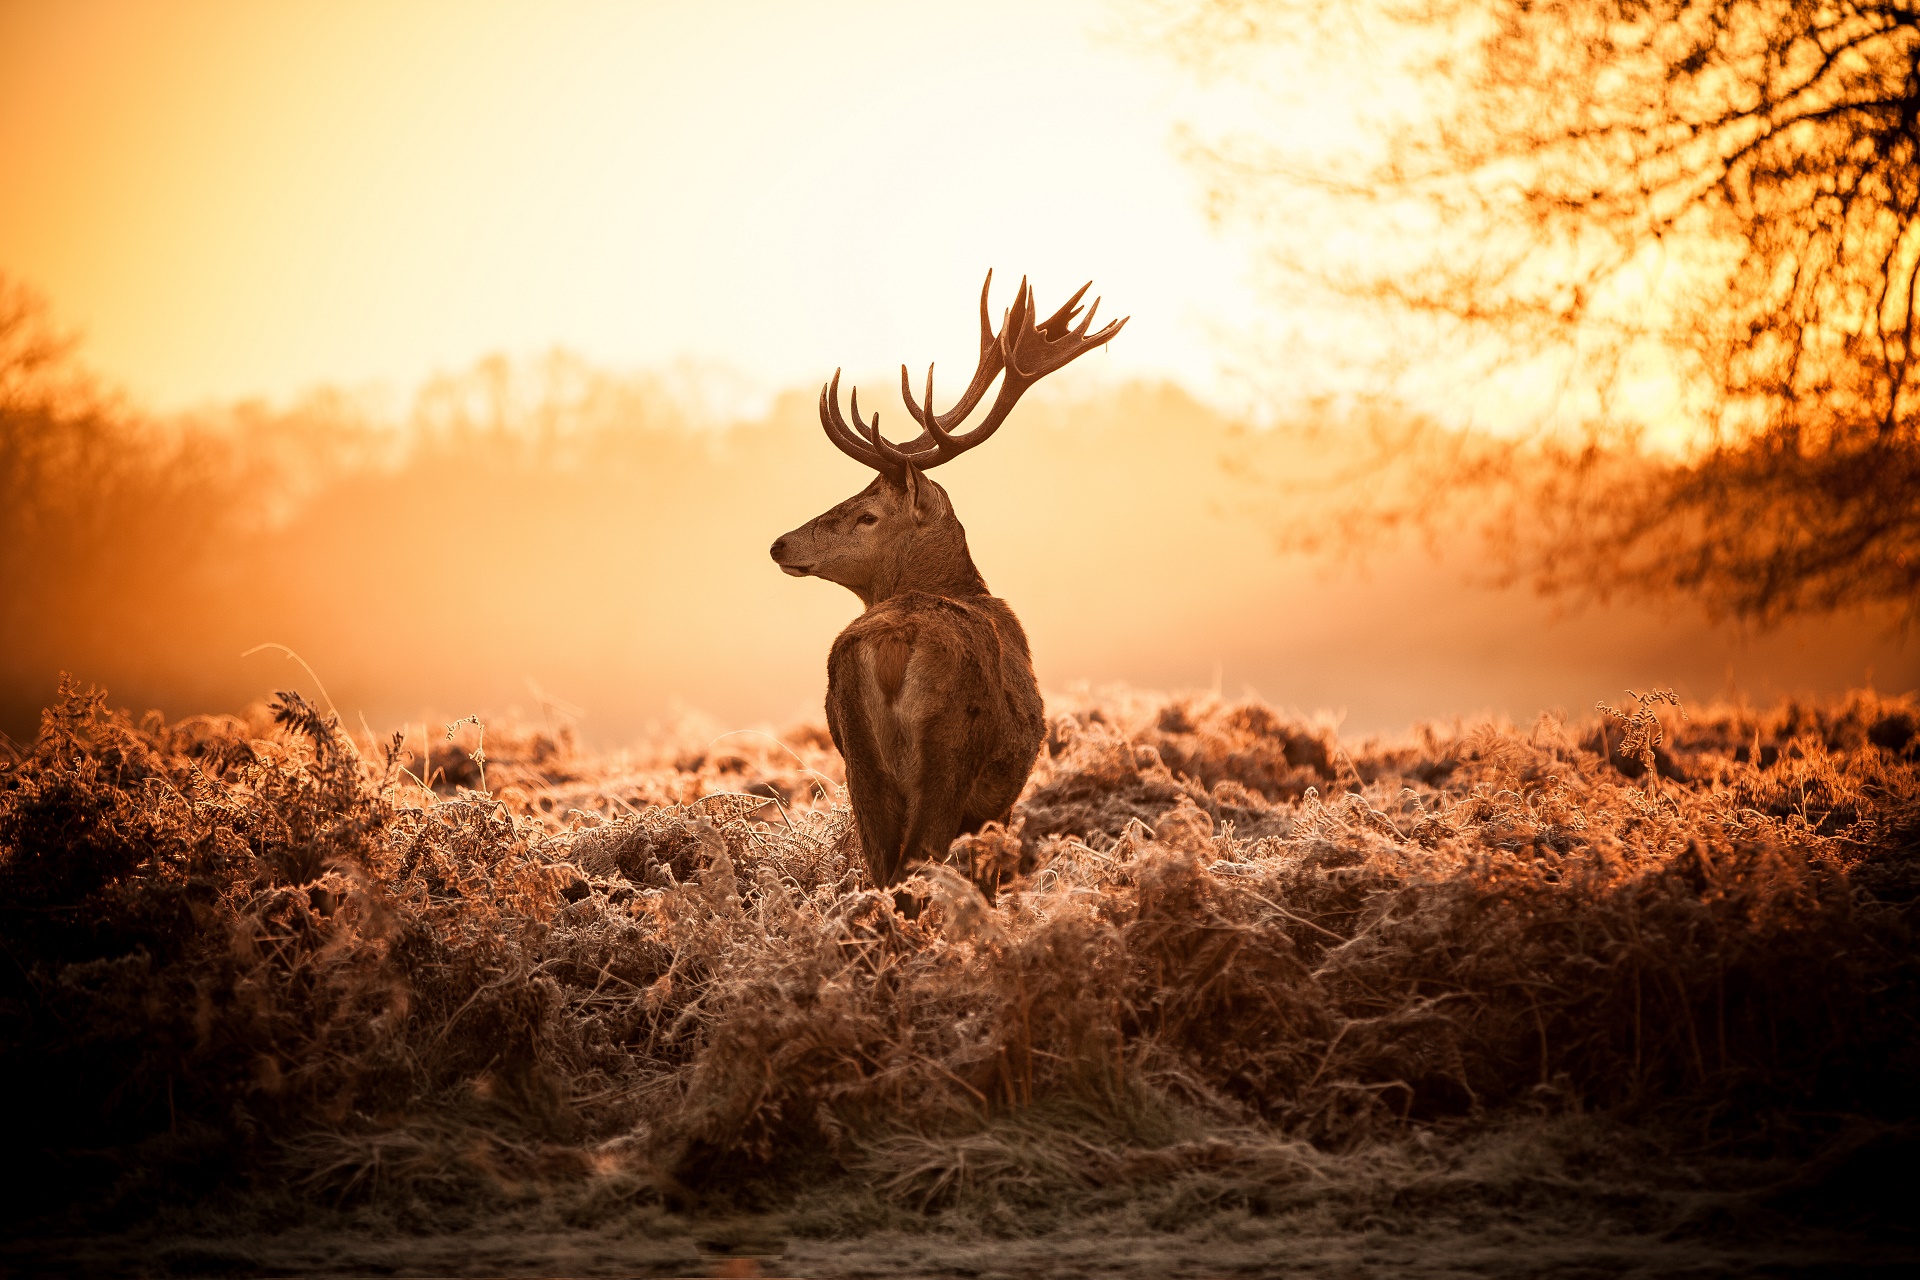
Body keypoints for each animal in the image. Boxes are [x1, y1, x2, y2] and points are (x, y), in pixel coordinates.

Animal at [768, 272, 1121, 890]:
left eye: (867, 514)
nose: (780, 543)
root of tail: (891, 645)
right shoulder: (999, 802)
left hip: (858, 761)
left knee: (883, 868)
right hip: (948, 754)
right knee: (915, 865)